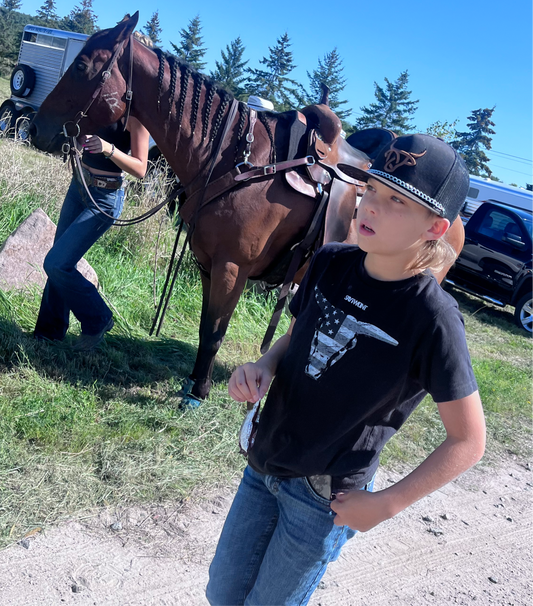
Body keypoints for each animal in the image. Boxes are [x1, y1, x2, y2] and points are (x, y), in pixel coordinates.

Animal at [29, 10, 464, 408]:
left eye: (82, 66)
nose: (36, 128)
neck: (232, 160)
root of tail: (455, 219)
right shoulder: (208, 263)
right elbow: (206, 327)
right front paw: (193, 382)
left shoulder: (231, 267)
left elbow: (215, 332)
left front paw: (197, 393)